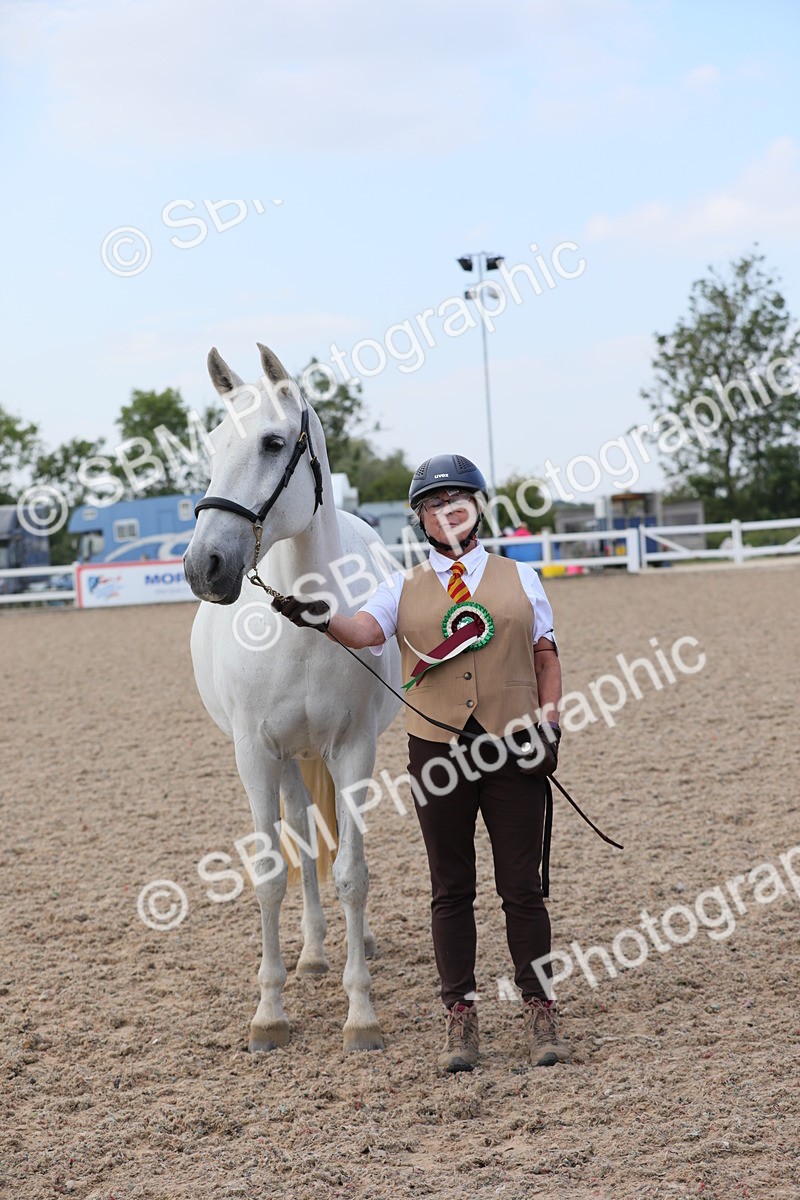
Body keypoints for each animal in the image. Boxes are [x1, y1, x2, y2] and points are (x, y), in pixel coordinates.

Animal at [184, 342, 402, 1053]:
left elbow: (353, 872)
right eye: (213, 443)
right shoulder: (255, 755)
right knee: (305, 841)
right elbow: (272, 872)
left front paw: (361, 1013)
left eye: (274, 442)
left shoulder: (354, 749)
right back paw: (310, 953)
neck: (303, 620)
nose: (204, 566)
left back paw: (353, 943)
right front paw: (269, 1011)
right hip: (287, 761)